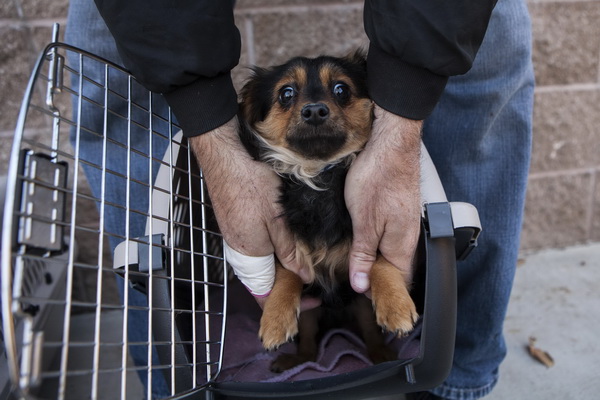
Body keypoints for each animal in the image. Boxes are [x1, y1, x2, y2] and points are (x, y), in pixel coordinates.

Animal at [236, 52, 418, 372]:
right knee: (309, 341)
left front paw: (396, 305)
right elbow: (287, 273)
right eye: (286, 94)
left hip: (360, 305)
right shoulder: (291, 250)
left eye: (341, 90)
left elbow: (379, 259)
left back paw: (380, 355)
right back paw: (299, 359)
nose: (314, 111)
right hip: (312, 315)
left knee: (369, 332)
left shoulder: (367, 235)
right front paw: (274, 318)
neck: (317, 171)